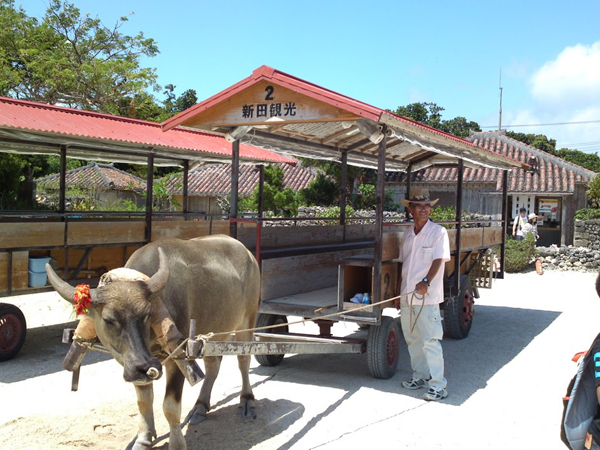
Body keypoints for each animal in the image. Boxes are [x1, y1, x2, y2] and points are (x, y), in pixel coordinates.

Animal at [45, 236, 262, 450]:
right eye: (108, 320)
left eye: (147, 314)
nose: (144, 366)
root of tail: (248, 254)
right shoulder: (134, 363)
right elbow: (144, 401)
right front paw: (143, 439)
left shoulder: (178, 356)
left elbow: (170, 407)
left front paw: (176, 443)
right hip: (216, 329)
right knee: (213, 366)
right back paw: (200, 407)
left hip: (247, 320)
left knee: (244, 360)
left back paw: (246, 401)